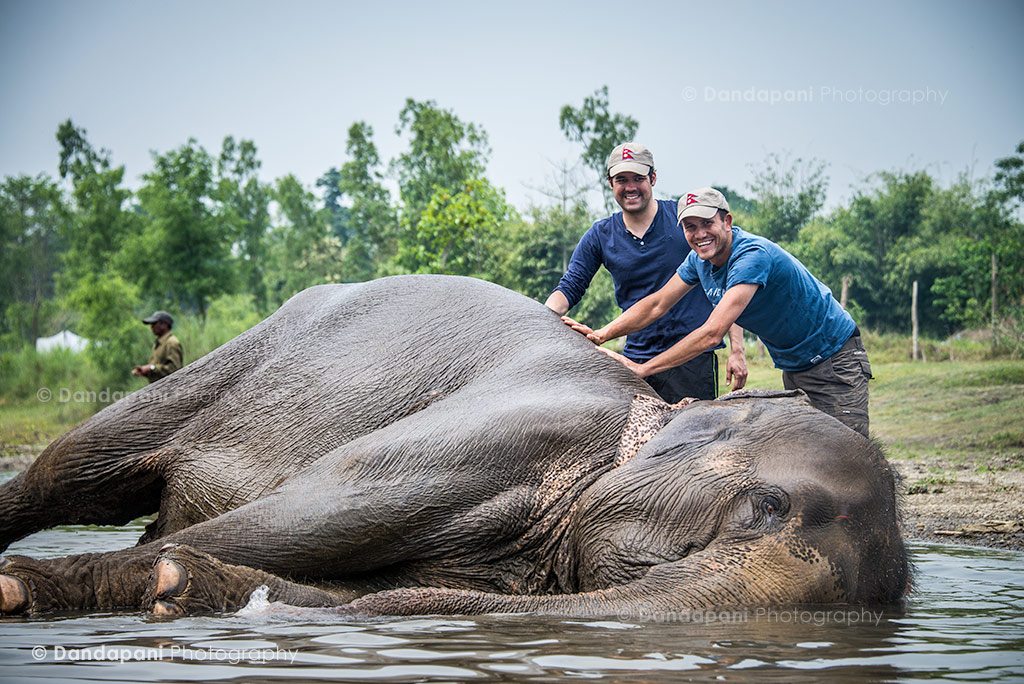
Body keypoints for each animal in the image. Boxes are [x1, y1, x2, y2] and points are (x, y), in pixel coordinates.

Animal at [0, 275, 908, 618]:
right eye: (766, 507)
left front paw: (185, 583)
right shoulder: (505, 434)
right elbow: (298, 513)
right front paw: (26, 588)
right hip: (227, 364)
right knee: (68, 474)